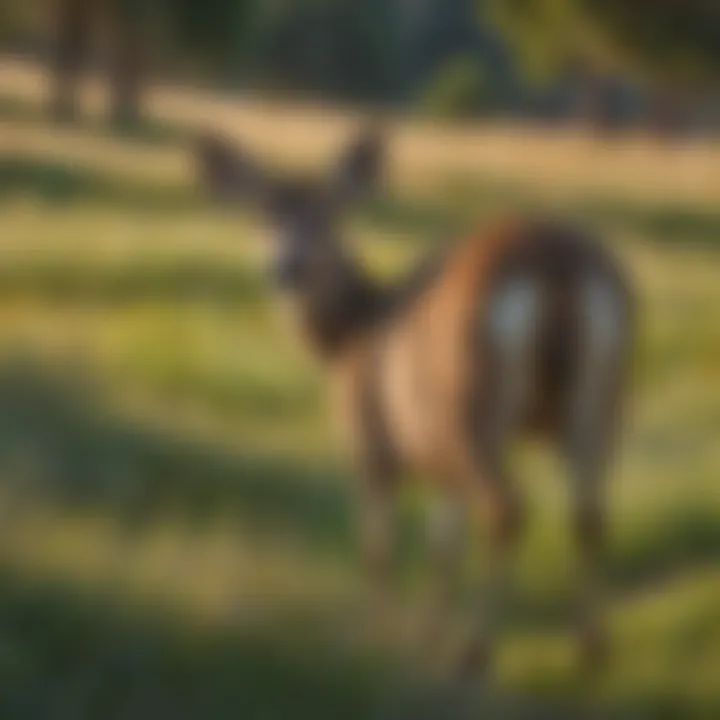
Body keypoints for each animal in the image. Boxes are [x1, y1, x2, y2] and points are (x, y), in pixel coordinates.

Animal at [194, 128, 632, 676]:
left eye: (331, 213)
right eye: (262, 213)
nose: (285, 269)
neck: (350, 336)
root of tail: (555, 262)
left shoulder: (372, 448)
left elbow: (377, 551)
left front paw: (372, 641)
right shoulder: (444, 471)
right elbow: (442, 552)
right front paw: (424, 640)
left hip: (471, 404)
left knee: (508, 508)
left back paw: (475, 653)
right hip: (599, 403)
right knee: (590, 514)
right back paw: (592, 648)